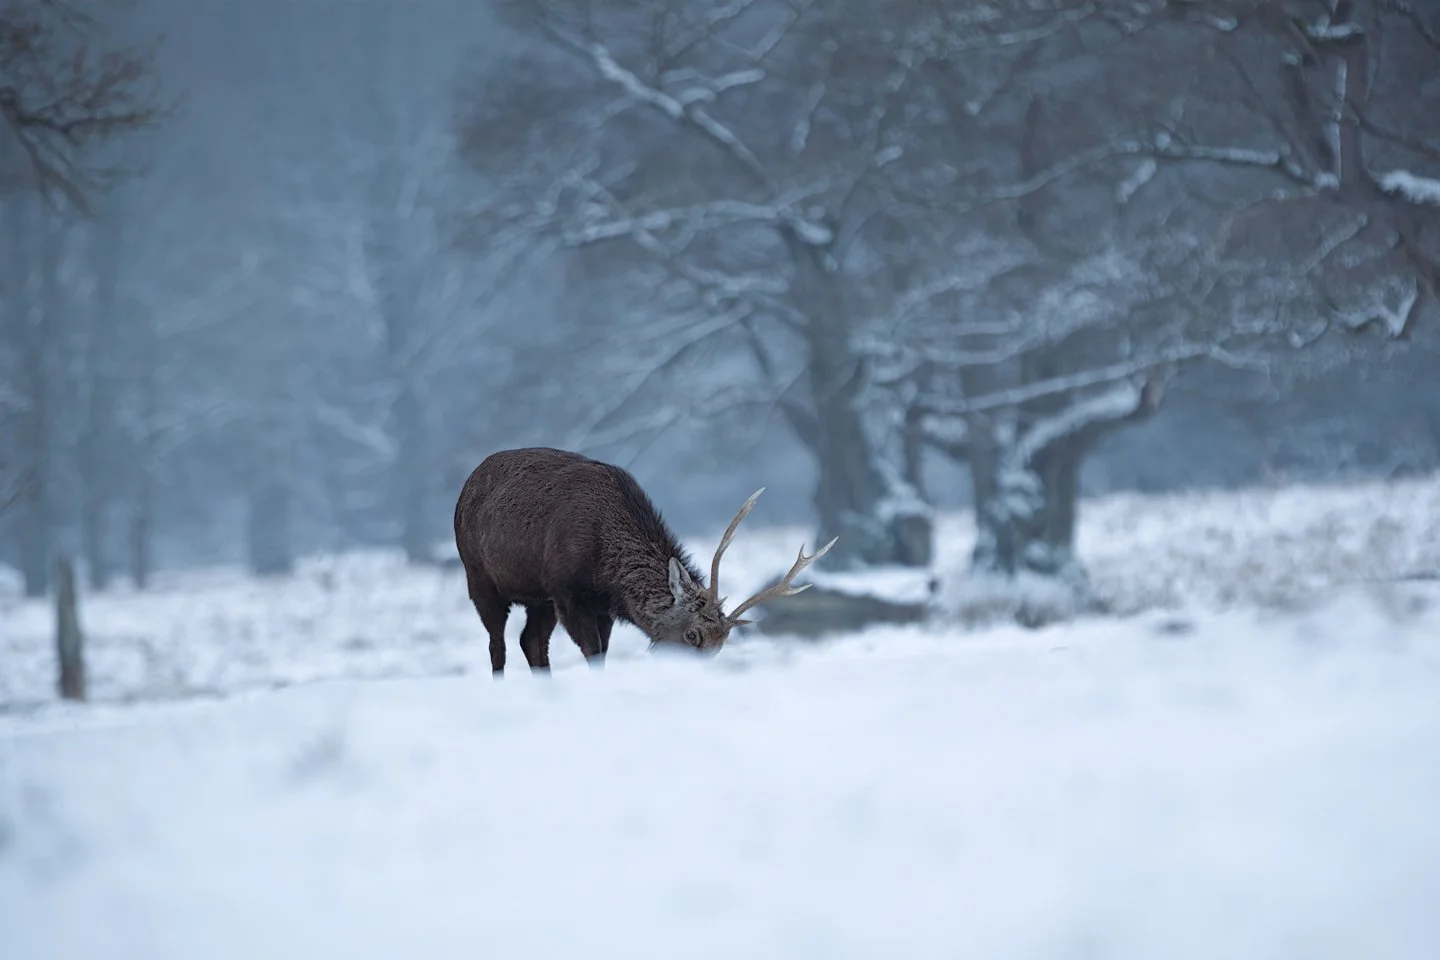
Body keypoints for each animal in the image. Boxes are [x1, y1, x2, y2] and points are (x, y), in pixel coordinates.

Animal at [453, 446, 837, 674]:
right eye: (692, 634)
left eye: (720, 646)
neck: (605, 566)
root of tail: (466, 487)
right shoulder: (566, 590)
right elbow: (592, 652)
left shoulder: (599, 605)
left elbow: (602, 653)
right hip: (479, 578)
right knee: (498, 644)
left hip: (538, 598)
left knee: (530, 641)